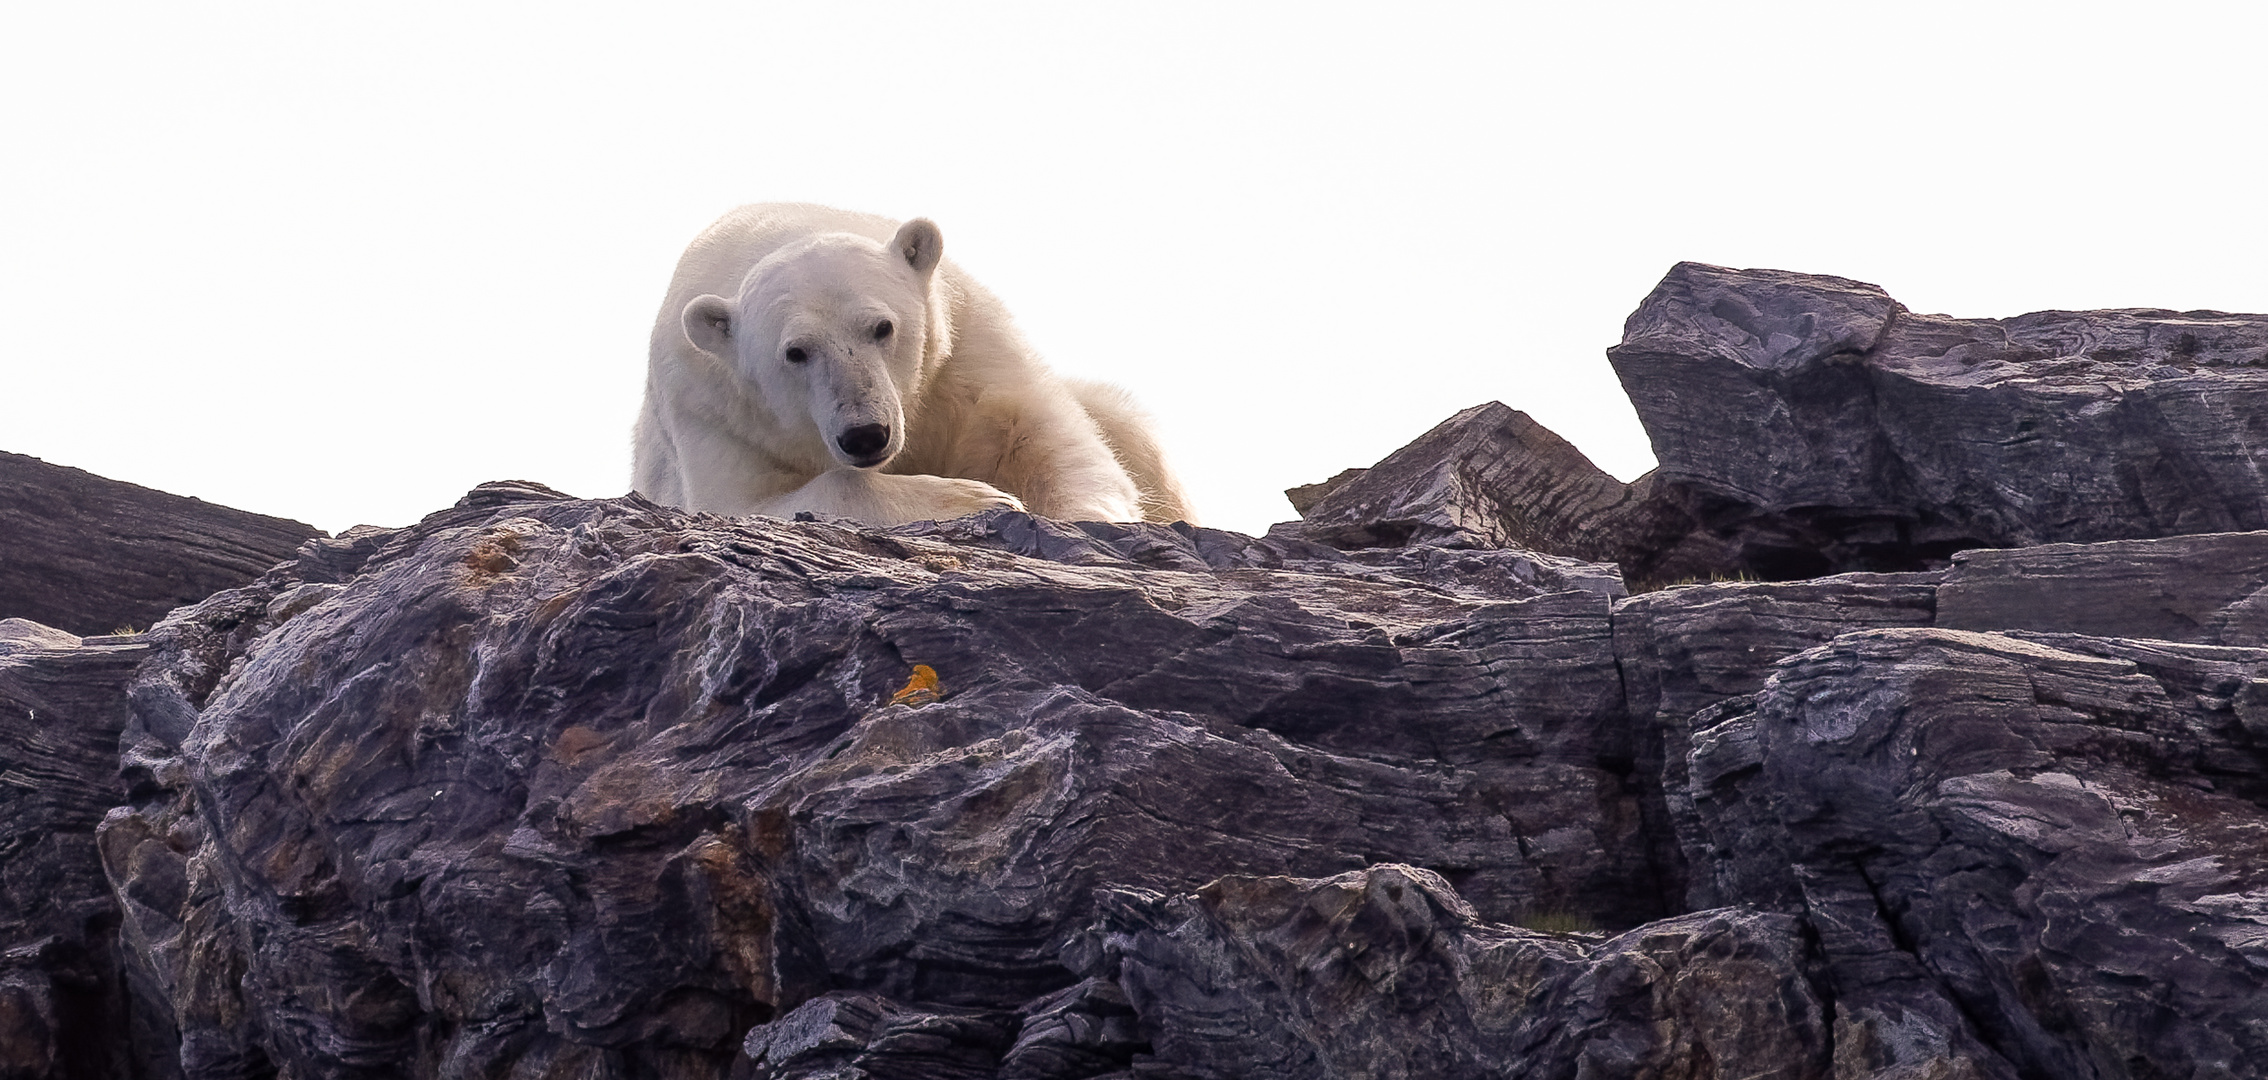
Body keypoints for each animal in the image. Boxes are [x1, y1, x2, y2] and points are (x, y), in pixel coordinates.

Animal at [621, 201, 1188, 526]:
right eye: (795, 352)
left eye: (883, 327)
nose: (865, 435)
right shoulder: (716, 411)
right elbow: (751, 501)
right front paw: (980, 499)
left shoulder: (963, 346)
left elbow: (1041, 437)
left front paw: (1086, 517)